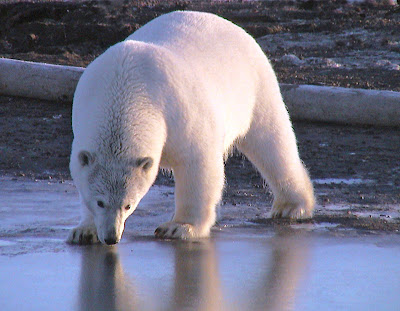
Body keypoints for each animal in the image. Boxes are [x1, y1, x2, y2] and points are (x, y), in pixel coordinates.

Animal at [67, 10, 314, 246]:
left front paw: (179, 227)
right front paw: (84, 231)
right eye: (100, 202)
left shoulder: (177, 111)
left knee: (272, 142)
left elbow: (197, 164)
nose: (111, 237)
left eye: (129, 204)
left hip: (255, 88)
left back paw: (292, 206)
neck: (126, 87)